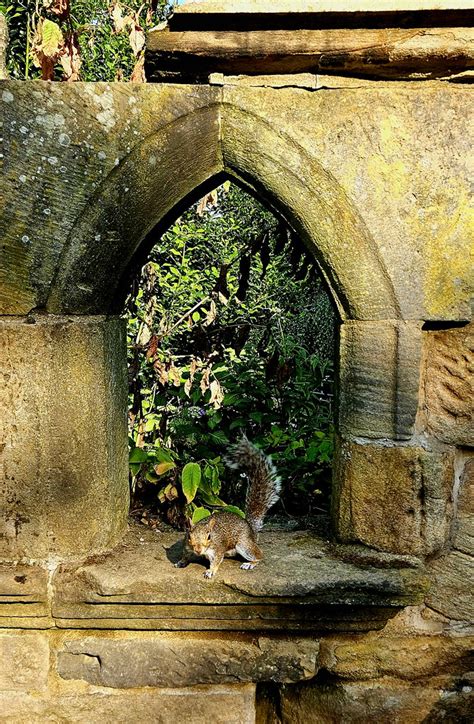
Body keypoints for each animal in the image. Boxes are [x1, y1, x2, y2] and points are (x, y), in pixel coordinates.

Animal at [177, 436, 282, 584]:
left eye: (209, 537)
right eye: (189, 536)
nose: (198, 550)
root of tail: (251, 528)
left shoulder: (217, 549)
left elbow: (216, 561)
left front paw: (210, 571)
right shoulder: (187, 545)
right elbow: (185, 554)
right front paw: (181, 561)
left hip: (243, 544)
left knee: (259, 555)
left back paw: (250, 564)